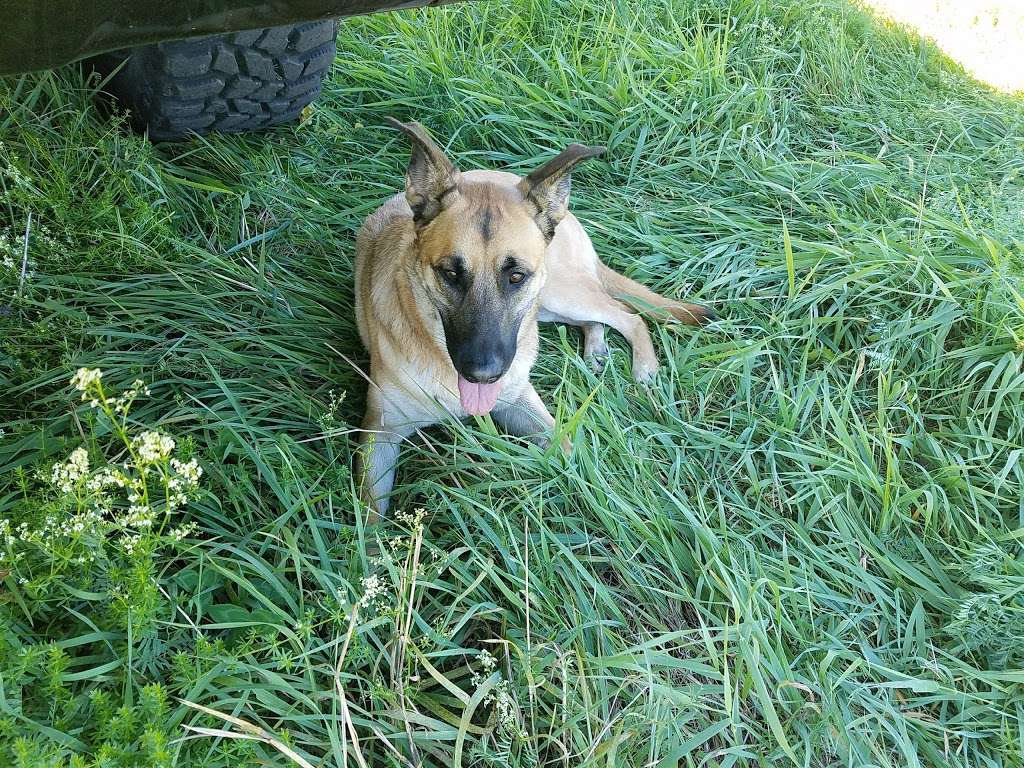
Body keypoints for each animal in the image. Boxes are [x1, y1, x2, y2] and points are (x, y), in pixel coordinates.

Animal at [356, 120, 716, 518]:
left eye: (516, 276)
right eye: (450, 273)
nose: (483, 374)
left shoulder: (520, 401)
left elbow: (569, 450)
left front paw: (607, 500)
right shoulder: (379, 434)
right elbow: (369, 518)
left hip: (559, 291)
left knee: (626, 314)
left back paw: (644, 368)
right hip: (548, 306)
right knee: (600, 318)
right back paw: (596, 350)